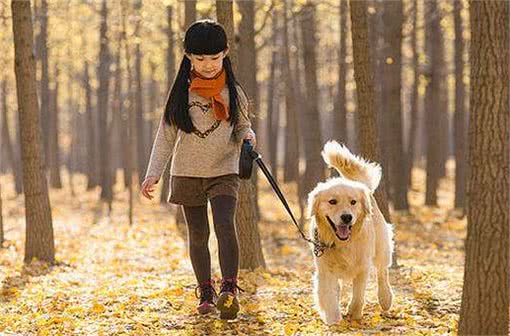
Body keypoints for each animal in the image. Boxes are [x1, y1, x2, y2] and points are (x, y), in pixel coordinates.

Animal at [306, 141, 394, 326]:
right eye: (332, 201)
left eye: (353, 202)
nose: (347, 217)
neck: (343, 242)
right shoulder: (325, 270)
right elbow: (329, 297)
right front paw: (334, 322)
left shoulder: (362, 266)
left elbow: (359, 295)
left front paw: (354, 313)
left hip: (382, 245)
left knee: (383, 271)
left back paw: (385, 298)